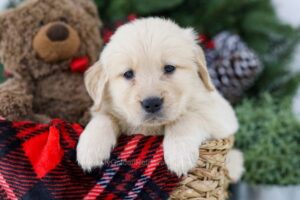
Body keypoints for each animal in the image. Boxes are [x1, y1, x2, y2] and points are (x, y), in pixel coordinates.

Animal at [77, 16, 241, 177]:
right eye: (128, 74)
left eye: (169, 68)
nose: (151, 103)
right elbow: (104, 118)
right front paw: (90, 150)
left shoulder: (219, 114)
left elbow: (186, 118)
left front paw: (179, 154)